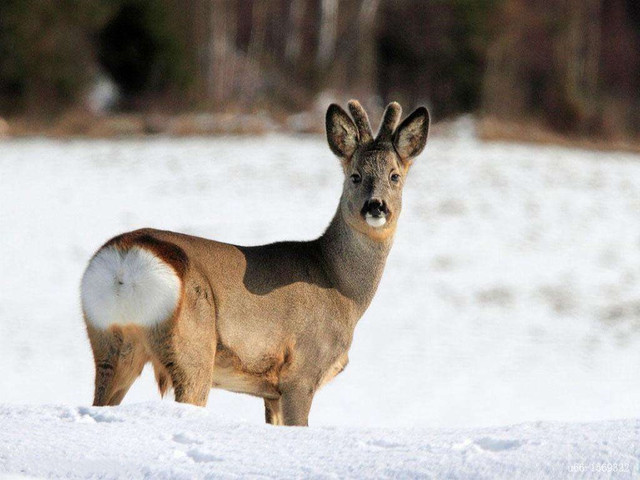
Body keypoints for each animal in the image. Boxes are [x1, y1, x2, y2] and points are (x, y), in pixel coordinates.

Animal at [81, 100, 430, 424]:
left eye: (395, 176)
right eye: (355, 176)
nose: (376, 206)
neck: (339, 286)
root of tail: (125, 262)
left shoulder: (270, 390)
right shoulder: (301, 372)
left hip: (110, 345)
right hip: (193, 346)